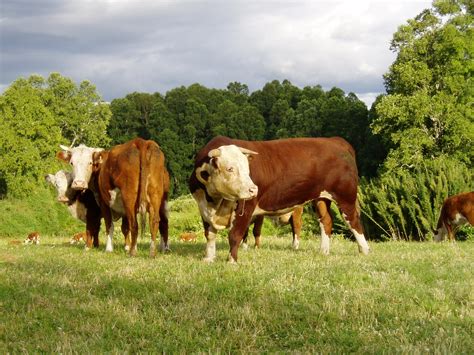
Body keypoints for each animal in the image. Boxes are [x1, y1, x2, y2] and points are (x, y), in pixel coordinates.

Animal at [189, 136, 370, 264]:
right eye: (230, 168)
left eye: (247, 168)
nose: (253, 189)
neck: (215, 200)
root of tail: (335, 140)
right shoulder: (203, 208)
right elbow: (210, 235)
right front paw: (208, 258)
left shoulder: (246, 207)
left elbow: (235, 234)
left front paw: (231, 261)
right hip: (320, 198)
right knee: (325, 220)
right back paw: (323, 251)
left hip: (345, 196)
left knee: (354, 222)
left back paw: (365, 251)